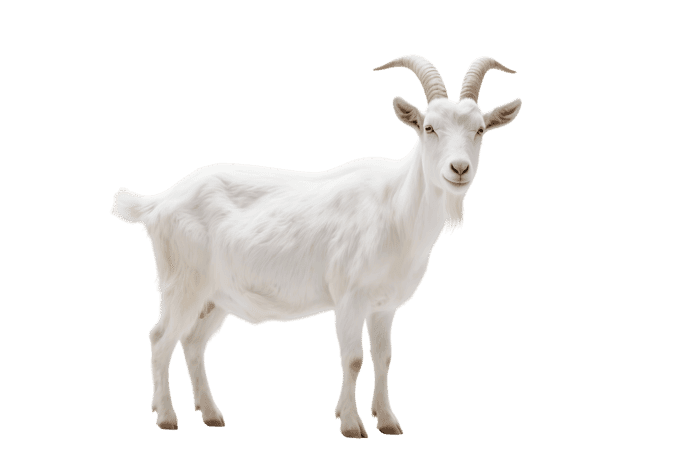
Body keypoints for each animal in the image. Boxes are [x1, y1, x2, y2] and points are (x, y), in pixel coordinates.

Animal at [110, 55, 522, 438]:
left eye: (480, 129)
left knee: (193, 342)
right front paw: (352, 425)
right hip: (183, 284)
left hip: (215, 296)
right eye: (429, 127)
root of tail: (160, 202)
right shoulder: (350, 297)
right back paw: (166, 417)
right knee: (161, 339)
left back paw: (211, 414)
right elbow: (353, 359)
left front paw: (387, 421)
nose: (459, 169)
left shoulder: (384, 306)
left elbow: (384, 358)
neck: (395, 208)